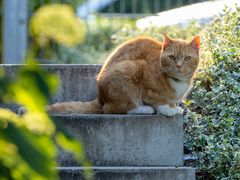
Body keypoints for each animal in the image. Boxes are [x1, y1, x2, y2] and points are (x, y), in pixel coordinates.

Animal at [47, 33, 200, 116]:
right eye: (172, 57)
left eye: (187, 58)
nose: (179, 66)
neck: (177, 81)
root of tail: (100, 98)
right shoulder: (147, 87)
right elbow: (158, 101)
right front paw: (168, 109)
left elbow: (171, 100)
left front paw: (174, 107)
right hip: (128, 68)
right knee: (115, 109)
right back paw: (144, 109)